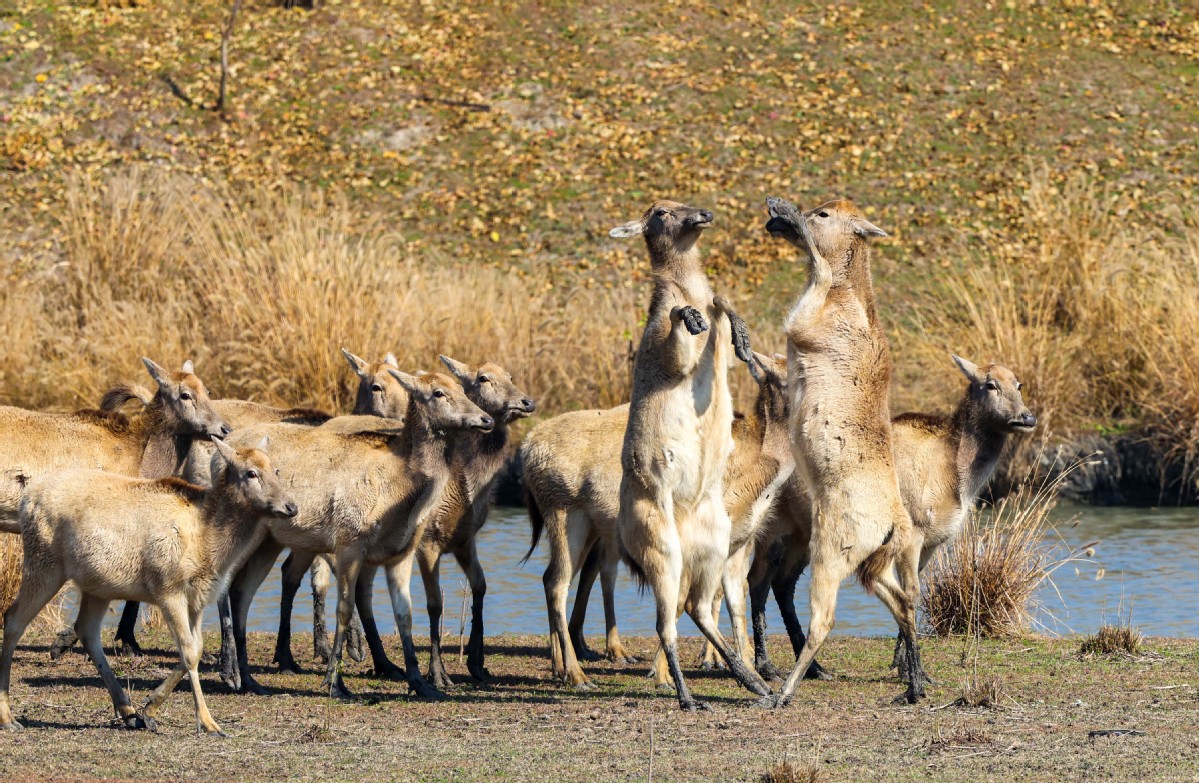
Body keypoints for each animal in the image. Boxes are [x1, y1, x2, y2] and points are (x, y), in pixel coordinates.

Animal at [0, 436, 297, 733]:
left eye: (276, 470)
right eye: (251, 473)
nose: (291, 507)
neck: (209, 543)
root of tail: (26, 500)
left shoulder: (198, 598)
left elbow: (198, 648)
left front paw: (150, 707)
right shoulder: (169, 589)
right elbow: (189, 652)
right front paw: (208, 722)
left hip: (96, 585)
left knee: (86, 630)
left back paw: (127, 709)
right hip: (44, 564)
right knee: (13, 619)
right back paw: (8, 717)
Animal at [219, 371, 491, 695]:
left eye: (461, 388)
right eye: (438, 392)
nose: (486, 419)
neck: (404, 492)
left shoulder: (401, 552)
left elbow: (405, 615)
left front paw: (420, 682)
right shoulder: (350, 543)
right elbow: (344, 608)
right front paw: (334, 681)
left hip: (271, 541)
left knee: (243, 592)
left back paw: (250, 678)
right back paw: (230, 671)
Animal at [609, 196, 767, 709]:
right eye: (659, 211)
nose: (703, 214)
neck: (686, 284)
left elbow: (723, 302)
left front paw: (743, 340)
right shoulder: (663, 351)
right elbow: (679, 332)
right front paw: (691, 318)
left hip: (715, 544)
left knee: (699, 608)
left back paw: (756, 684)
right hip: (661, 548)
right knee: (665, 622)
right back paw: (686, 694)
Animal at [743, 354, 1035, 676]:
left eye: (1019, 384)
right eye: (991, 384)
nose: (1026, 417)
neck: (957, 478)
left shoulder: (933, 542)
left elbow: (910, 593)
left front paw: (902, 664)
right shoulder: (914, 532)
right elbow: (912, 592)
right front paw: (909, 668)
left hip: (803, 532)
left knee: (782, 583)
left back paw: (815, 667)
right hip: (771, 527)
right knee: (757, 582)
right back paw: (765, 665)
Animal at [757, 194, 925, 700]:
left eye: (825, 214)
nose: (775, 210)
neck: (848, 299)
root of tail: (894, 525)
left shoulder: (804, 326)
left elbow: (810, 284)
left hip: (832, 552)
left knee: (824, 619)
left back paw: (784, 693)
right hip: (872, 566)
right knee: (905, 601)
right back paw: (913, 687)